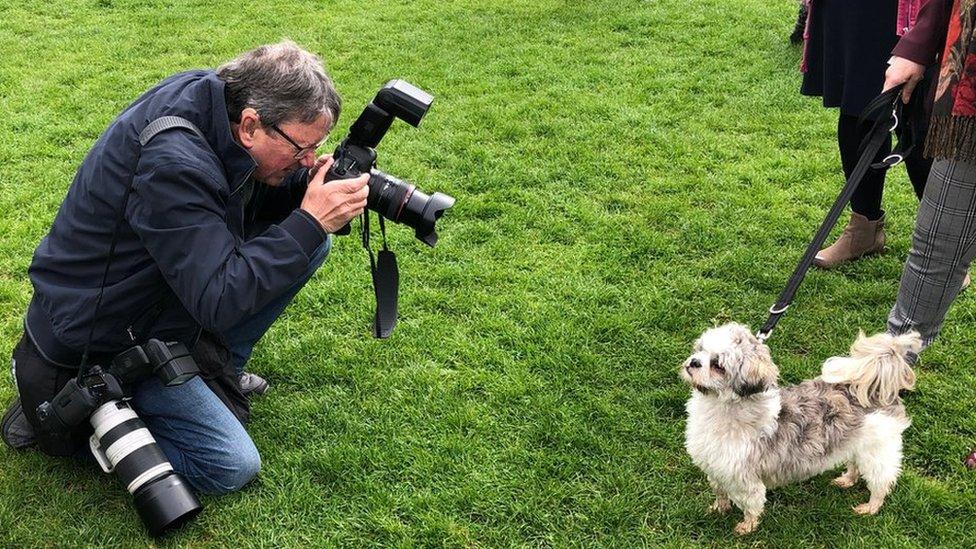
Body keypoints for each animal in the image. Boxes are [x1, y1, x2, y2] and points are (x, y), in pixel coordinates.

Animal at [684, 324, 920, 532]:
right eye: (700, 349)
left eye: (718, 365)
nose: (694, 362)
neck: (719, 409)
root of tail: (874, 388)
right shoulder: (715, 468)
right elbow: (720, 492)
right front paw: (718, 509)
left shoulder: (744, 479)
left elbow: (751, 504)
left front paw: (747, 527)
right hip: (857, 444)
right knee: (854, 464)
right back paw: (847, 480)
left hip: (877, 452)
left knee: (881, 481)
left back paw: (871, 507)